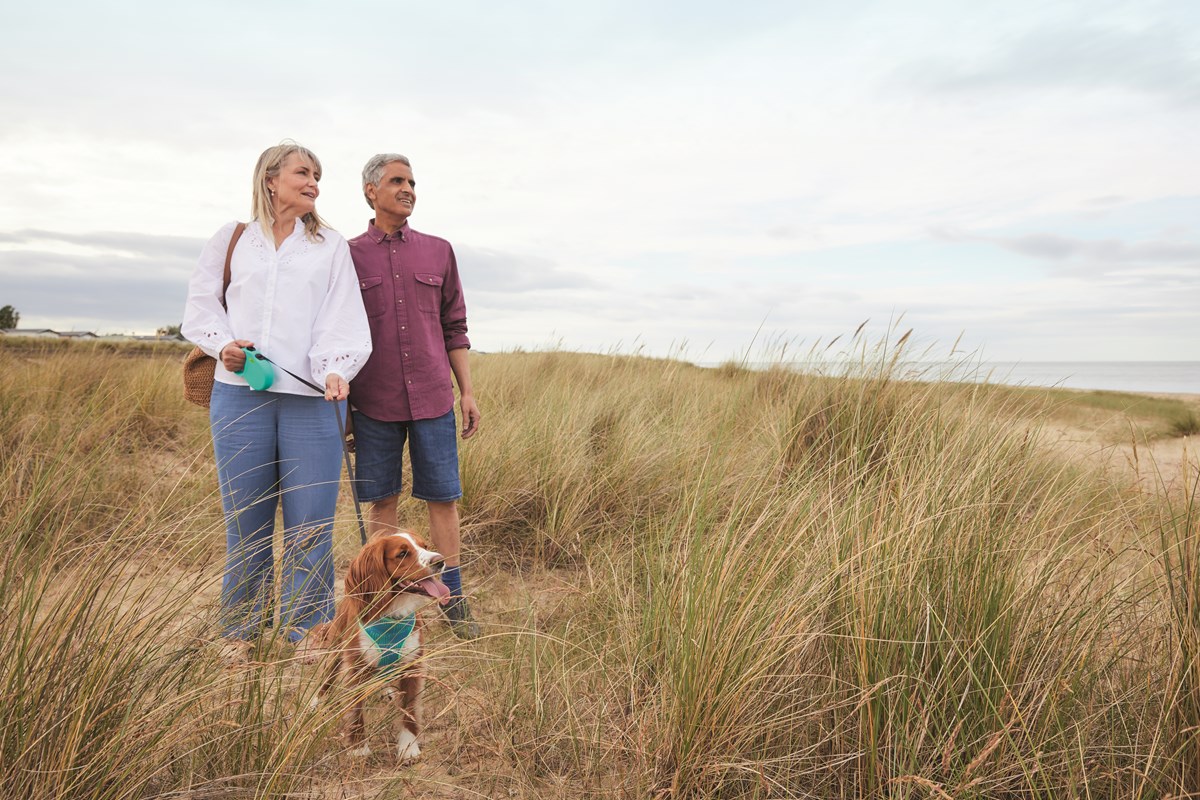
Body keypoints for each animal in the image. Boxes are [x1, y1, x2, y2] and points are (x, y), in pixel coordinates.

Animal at [314, 534, 451, 762]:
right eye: (402, 553)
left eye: (425, 546)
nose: (440, 561)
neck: (392, 613)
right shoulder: (356, 668)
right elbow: (356, 711)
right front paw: (358, 748)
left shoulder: (412, 665)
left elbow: (409, 709)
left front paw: (408, 747)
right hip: (336, 651)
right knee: (326, 679)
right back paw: (315, 703)